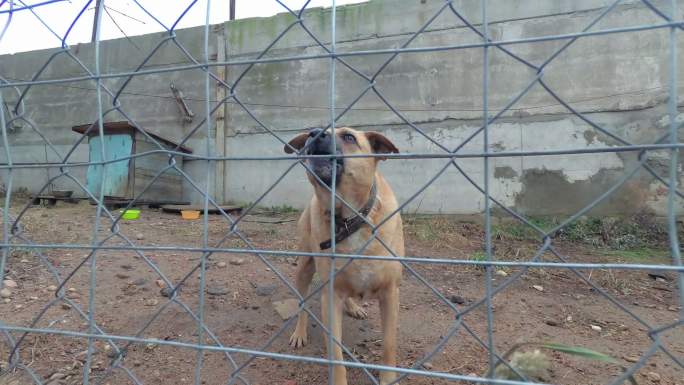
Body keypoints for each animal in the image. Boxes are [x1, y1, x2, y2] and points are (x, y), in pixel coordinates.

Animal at [284, 127, 404, 384]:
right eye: (312, 131)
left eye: (349, 137)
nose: (314, 134)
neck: (350, 220)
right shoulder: (330, 297)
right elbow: (336, 355)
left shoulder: (390, 293)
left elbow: (389, 345)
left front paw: (388, 378)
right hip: (304, 267)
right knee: (302, 304)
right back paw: (299, 332)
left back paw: (353, 306)